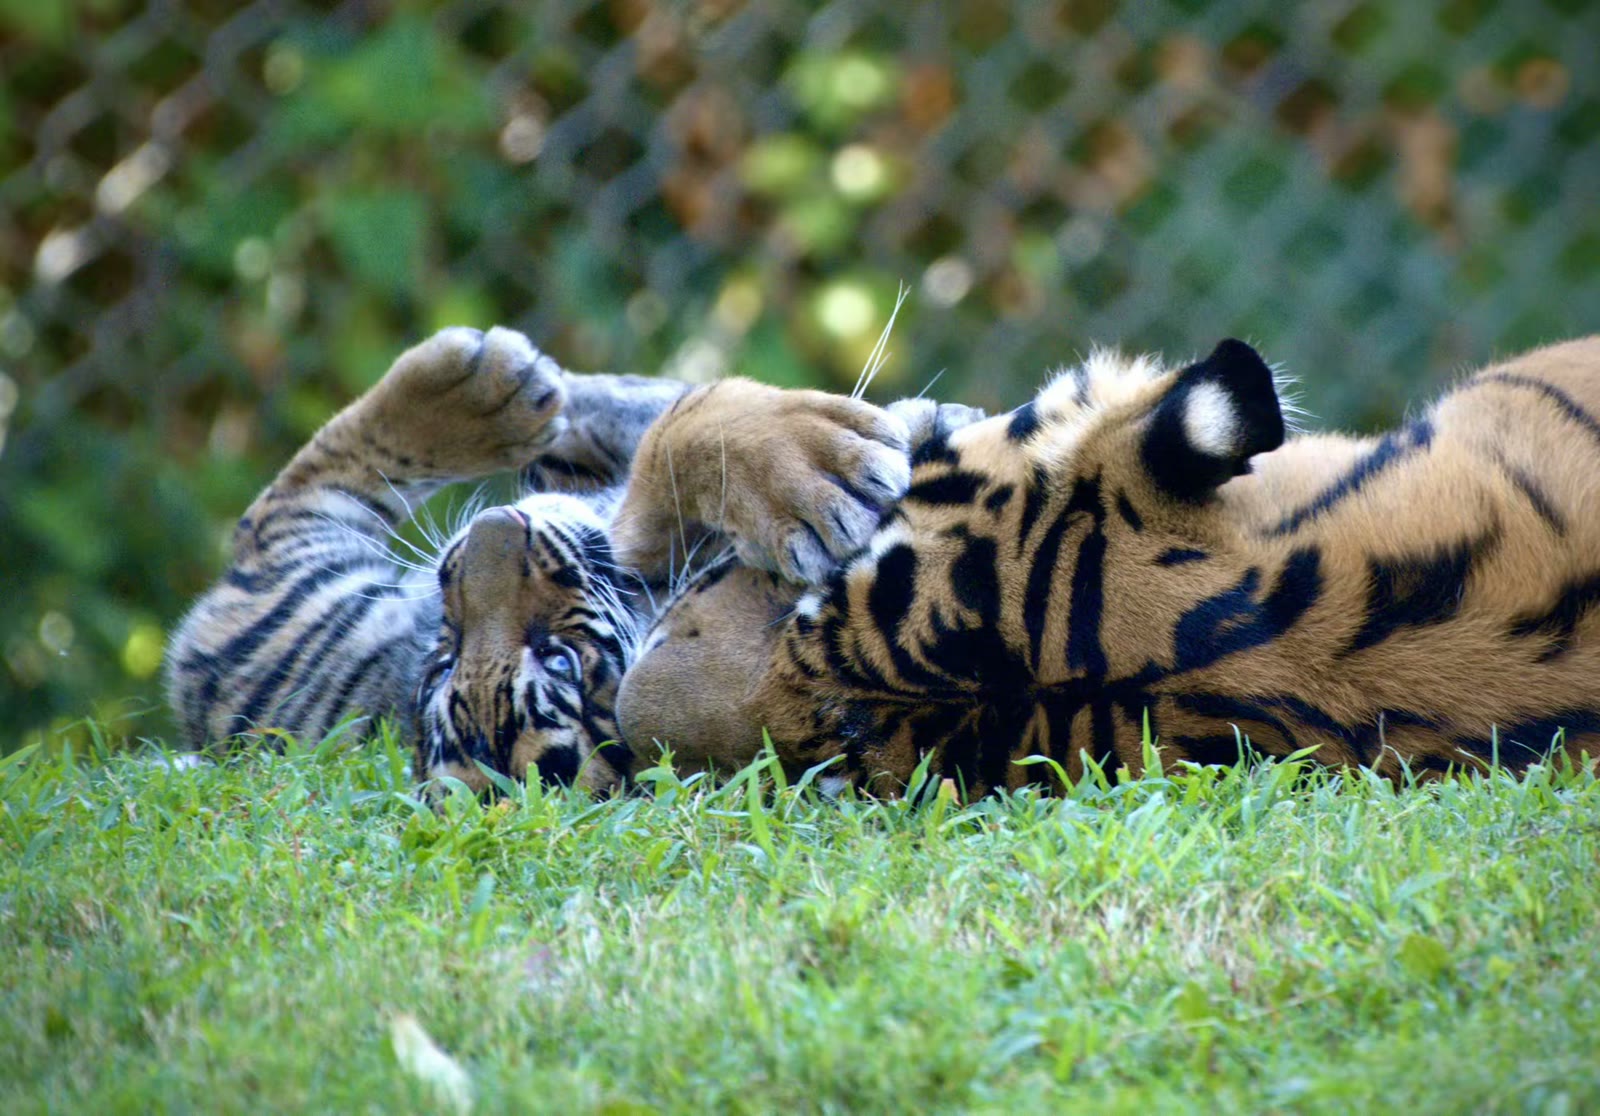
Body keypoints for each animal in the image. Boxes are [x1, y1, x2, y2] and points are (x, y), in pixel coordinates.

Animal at [164, 325, 945, 793]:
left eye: (444, 658)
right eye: (559, 656)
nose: (487, 539)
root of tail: (194, 687)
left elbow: (666, 426)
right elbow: (669, 441)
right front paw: (826, 472)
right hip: (295, 570)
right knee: (295, 495)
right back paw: (484, 387)